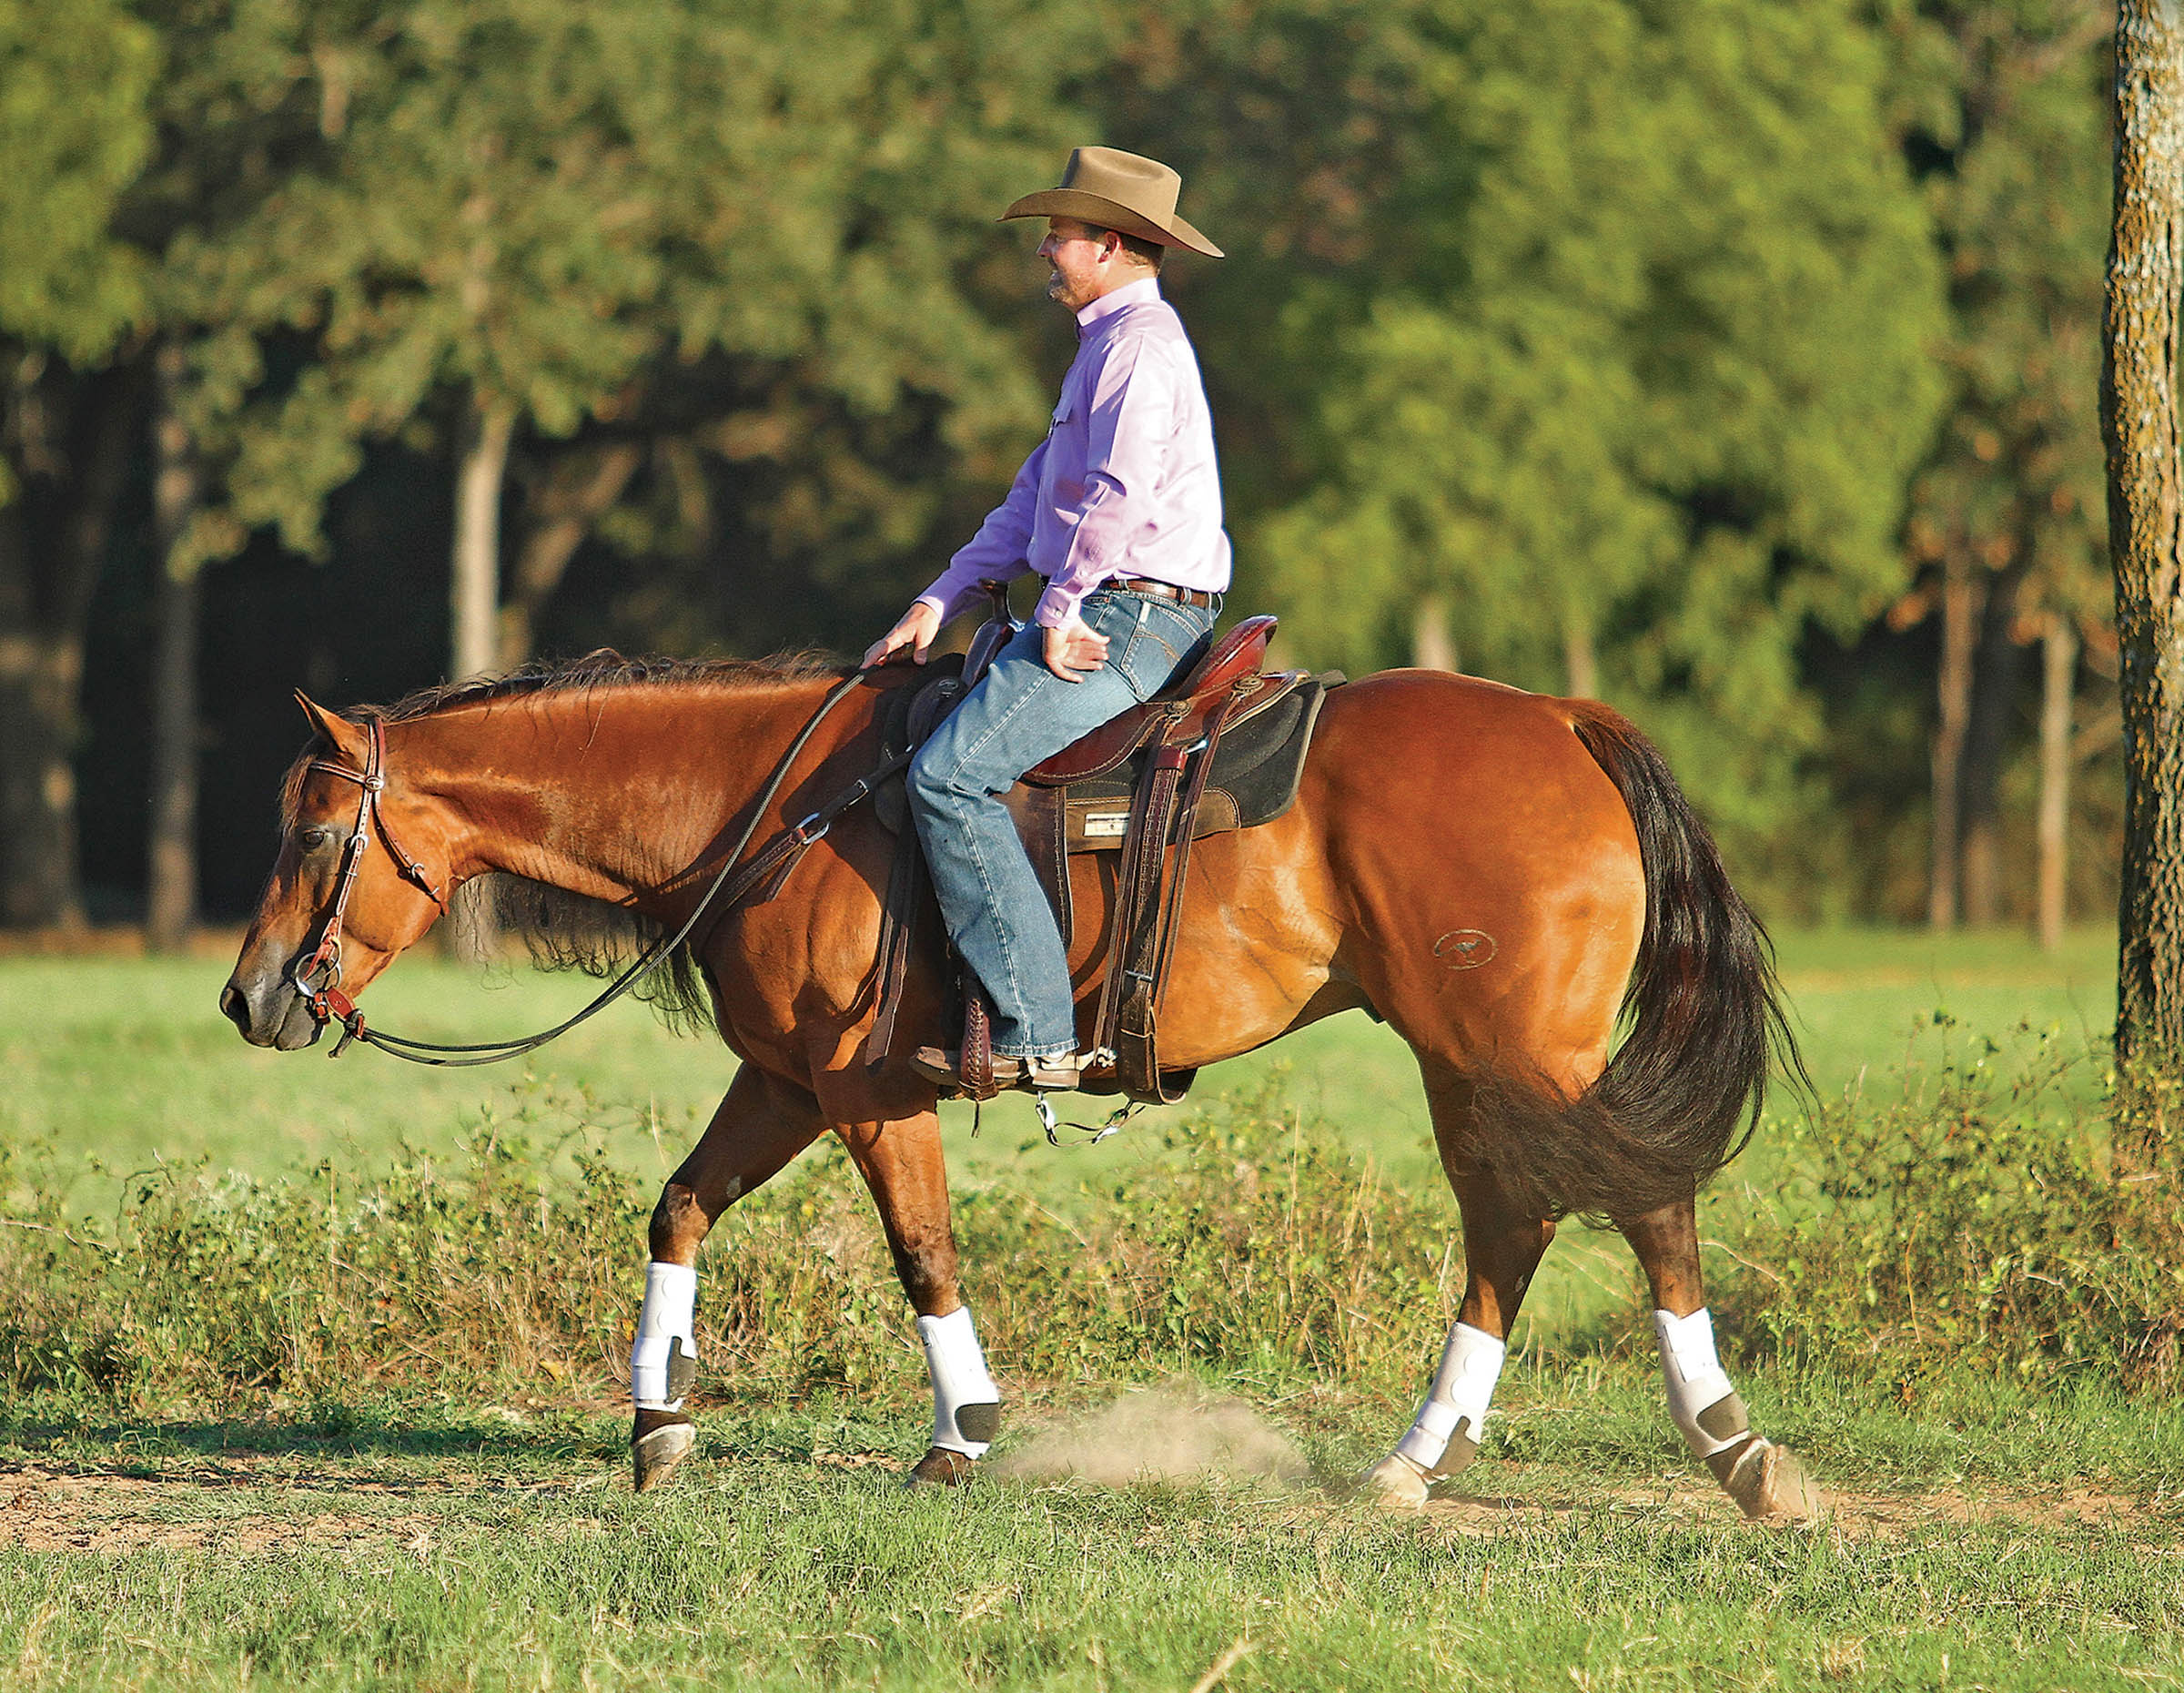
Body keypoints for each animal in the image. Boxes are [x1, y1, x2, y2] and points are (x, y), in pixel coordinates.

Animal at [221, 651, 1825, 1520]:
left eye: (314, 834)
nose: (249, 998)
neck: (773, 804)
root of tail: (1560, 718)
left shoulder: (866, 1092)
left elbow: (923, 1254)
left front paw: (960, 1436)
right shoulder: (785, 1081)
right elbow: (677, 1208)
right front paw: (657, 1428)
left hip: (1512, 1052)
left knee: (1633, 1206)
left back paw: (1731, 1449)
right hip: (1473, 1063)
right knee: (1521, 1224)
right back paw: (1422, 1459)